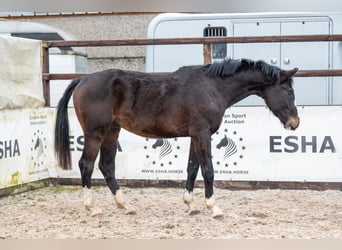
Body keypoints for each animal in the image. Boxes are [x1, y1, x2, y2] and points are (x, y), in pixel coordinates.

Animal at [54, 58, 300, 217]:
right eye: (288, 91)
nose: (295, 122)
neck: (211, 87)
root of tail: (83, 79)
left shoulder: (195, 136)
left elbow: (192, 169)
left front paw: (190, 205)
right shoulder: (202, 134)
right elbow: (208, 170)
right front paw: (214, 208)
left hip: (113, 131)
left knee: (107, 166)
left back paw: (126, 206)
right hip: (96, 133)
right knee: (86, 165)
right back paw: (92, 208)